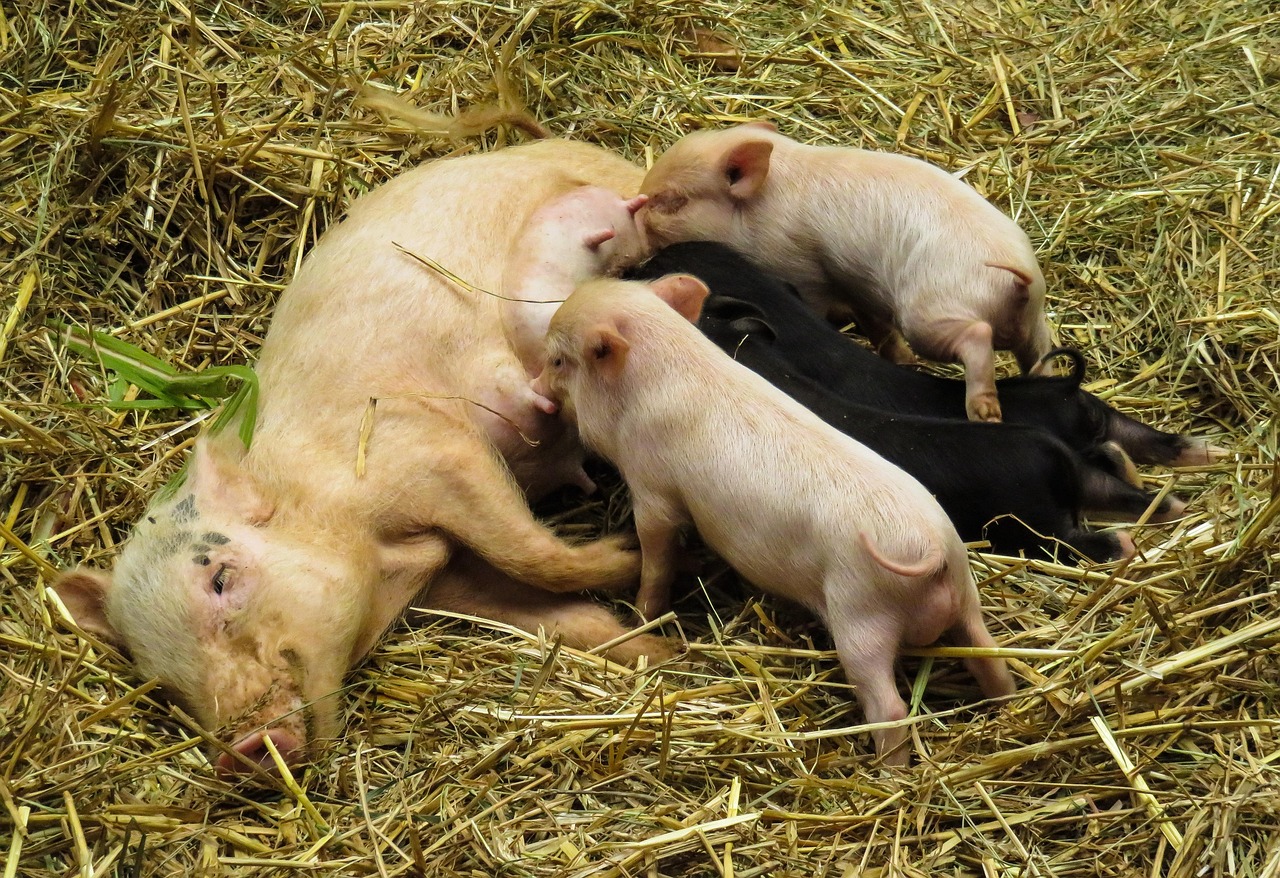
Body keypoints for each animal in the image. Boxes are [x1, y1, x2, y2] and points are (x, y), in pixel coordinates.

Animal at [535, 274, 1017, 764]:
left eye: (557, 359)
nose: (535, 388)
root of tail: (932, 549)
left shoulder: (652, 488)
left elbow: (656, 555)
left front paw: (641, 615)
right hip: (965, 594)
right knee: (991, 657)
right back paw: (1003, 705)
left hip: (862, 617)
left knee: (890, 706)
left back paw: (887, 769)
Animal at [628, 241, 1214, 506]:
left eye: (655, 264)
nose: (631, 265)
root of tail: (1068, 390)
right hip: (1101, 418)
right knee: (1139, 441)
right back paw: (1207, 455)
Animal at [639, 122, 1055, 423]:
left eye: (671, 200)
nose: (636, 213)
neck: (761, 207)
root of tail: (1017, 276)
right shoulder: (857, 286)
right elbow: (875, 325)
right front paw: (899, 359)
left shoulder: (801, 269)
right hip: (1033, 320)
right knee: (1040, 352)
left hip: (932, 315)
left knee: (977, 335)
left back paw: (985, 415)